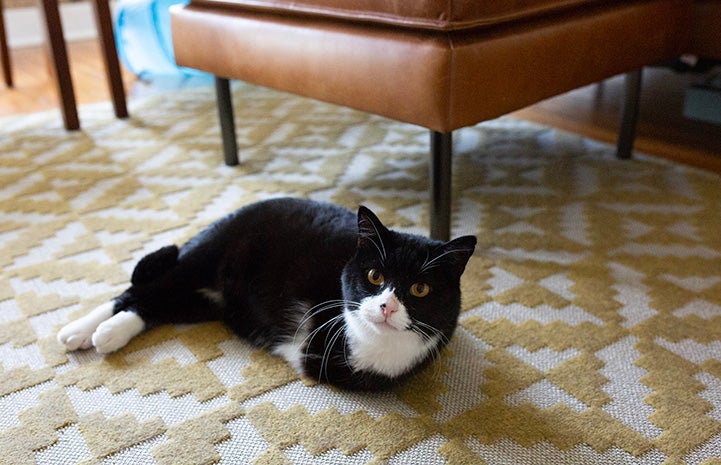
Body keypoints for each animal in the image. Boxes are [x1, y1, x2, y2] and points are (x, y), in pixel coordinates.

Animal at [59, 198, 476, 390]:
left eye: (420, 288)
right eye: (375, 276)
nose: (387, 305)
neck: (380, 348)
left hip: (200, 300)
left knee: (150, 302)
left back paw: (103, 334)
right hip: (205, 258)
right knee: (138, 289)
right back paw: (81, 331)